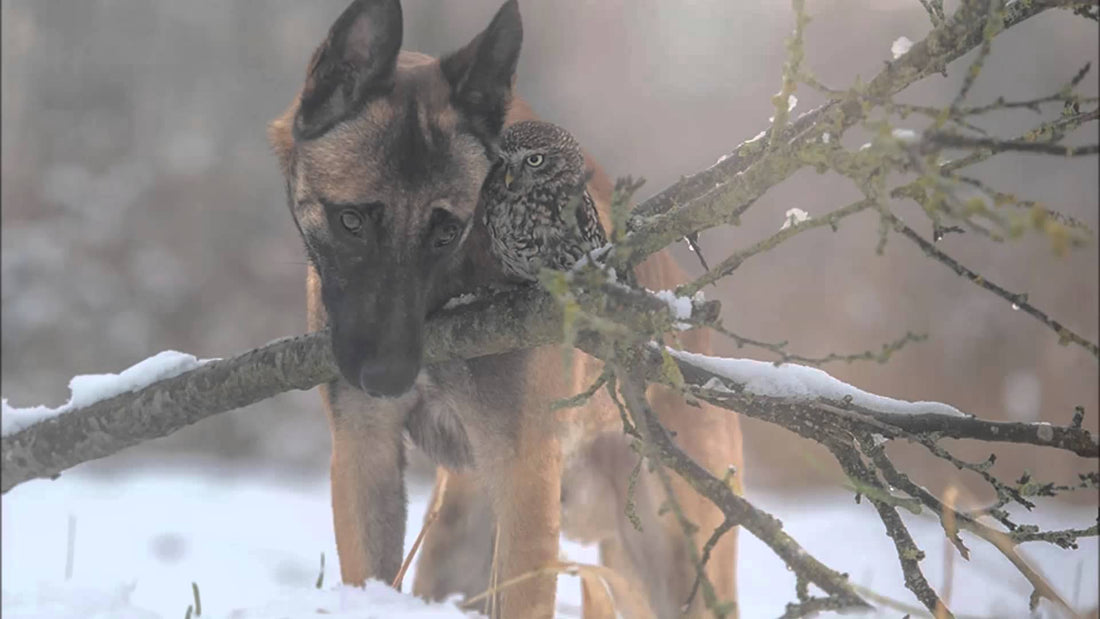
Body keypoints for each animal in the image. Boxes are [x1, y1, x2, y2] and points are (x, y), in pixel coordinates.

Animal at [269, 2, 743, 615]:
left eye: (446, 232)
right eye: (350, 221)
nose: (389, 378)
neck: (453, 287)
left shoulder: (523, 474)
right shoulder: (363, 453)